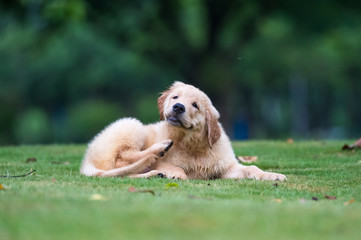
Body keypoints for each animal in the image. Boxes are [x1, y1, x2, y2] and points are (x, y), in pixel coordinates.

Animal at [80, 81, 286, 181]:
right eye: (175, 97)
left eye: (195, 105)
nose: (178, 107)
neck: (192, 144)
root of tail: (86, 162)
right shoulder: (166, 163)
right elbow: (176, 167)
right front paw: (177, 174)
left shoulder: (227, 169)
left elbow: (251, 167)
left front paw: (272, 175)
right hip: (132, 125)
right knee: (124, 158)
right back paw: (160, 149)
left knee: (123, 172)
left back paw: (154, 174)